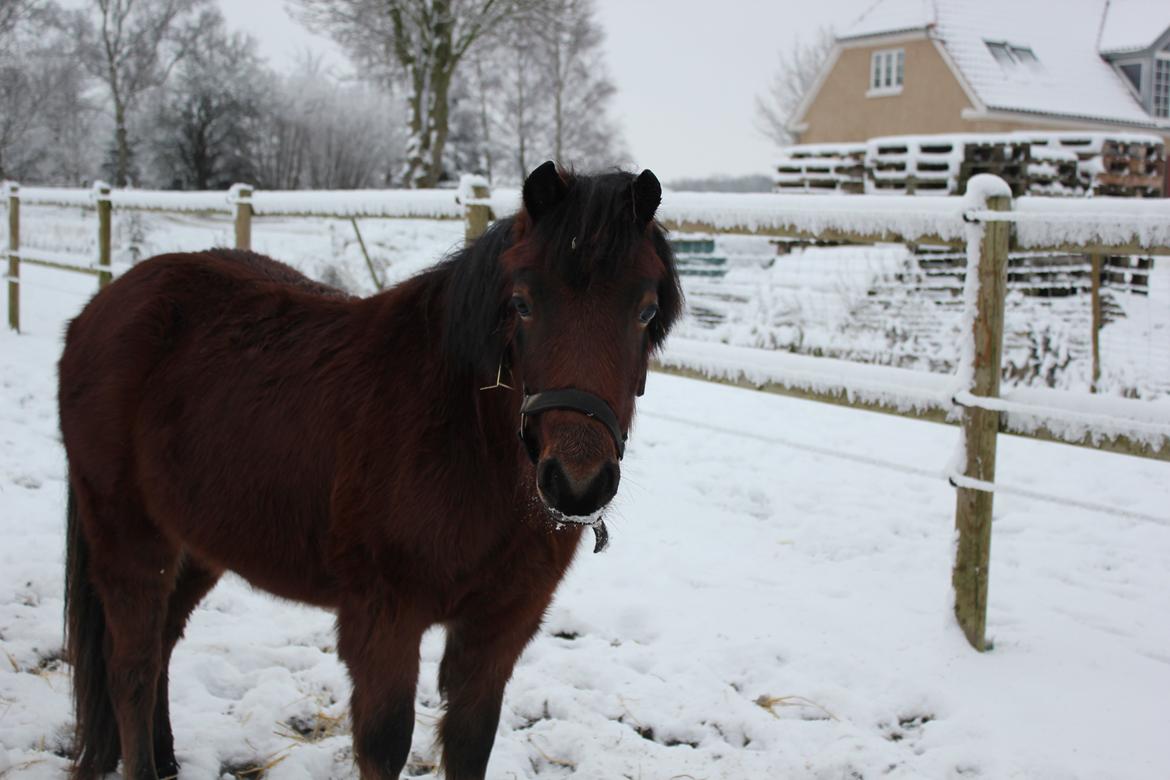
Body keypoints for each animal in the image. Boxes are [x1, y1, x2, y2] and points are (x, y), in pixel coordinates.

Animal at [57, 161, 683, 776]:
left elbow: (470, 743)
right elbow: (385, 743)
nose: (577, 484)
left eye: (646, 311)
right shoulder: (384, 620)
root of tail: (100, 307)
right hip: (130, 538)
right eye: (523, 303)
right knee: (131, 669)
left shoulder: (499, 629)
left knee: (163, 642)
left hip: (198, 542)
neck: (465, 442)